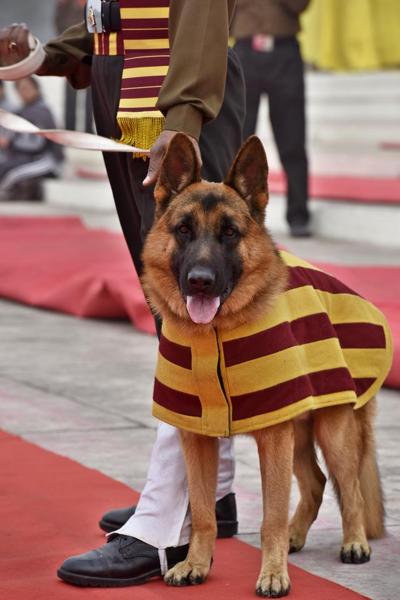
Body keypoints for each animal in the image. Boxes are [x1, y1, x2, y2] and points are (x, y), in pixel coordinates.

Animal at [141, 134, 392, 597]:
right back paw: (297, 536)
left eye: (230, 233)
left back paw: (354, 542)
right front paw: (197, 564)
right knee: (316, 483)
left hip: (332, 432)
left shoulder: (273, 439)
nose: (200, 281)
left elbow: (270, 518)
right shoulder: (197, 439)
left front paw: (273, 573)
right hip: (298, 432)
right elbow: (202, 513)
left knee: (349, 489)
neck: (216, 334)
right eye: (183, 230)